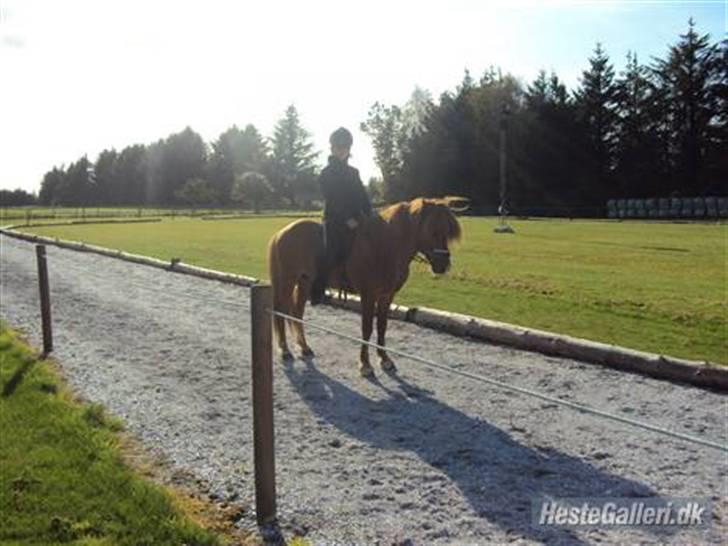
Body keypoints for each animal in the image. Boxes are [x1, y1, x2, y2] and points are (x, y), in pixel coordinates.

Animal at [268, 198, 466, 376]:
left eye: (447, 231)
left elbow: (382, 327)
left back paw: (304, 347)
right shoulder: (368, 296)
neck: (383, 246)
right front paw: (365, 365)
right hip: (287, 282)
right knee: (280, 312)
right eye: (431, 230)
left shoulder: (386, 296)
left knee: (296, 313)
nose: (443, 266)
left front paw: (385, 359)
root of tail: (281, 233)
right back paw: (285, 350)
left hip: (304, 282)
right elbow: (367, 328)